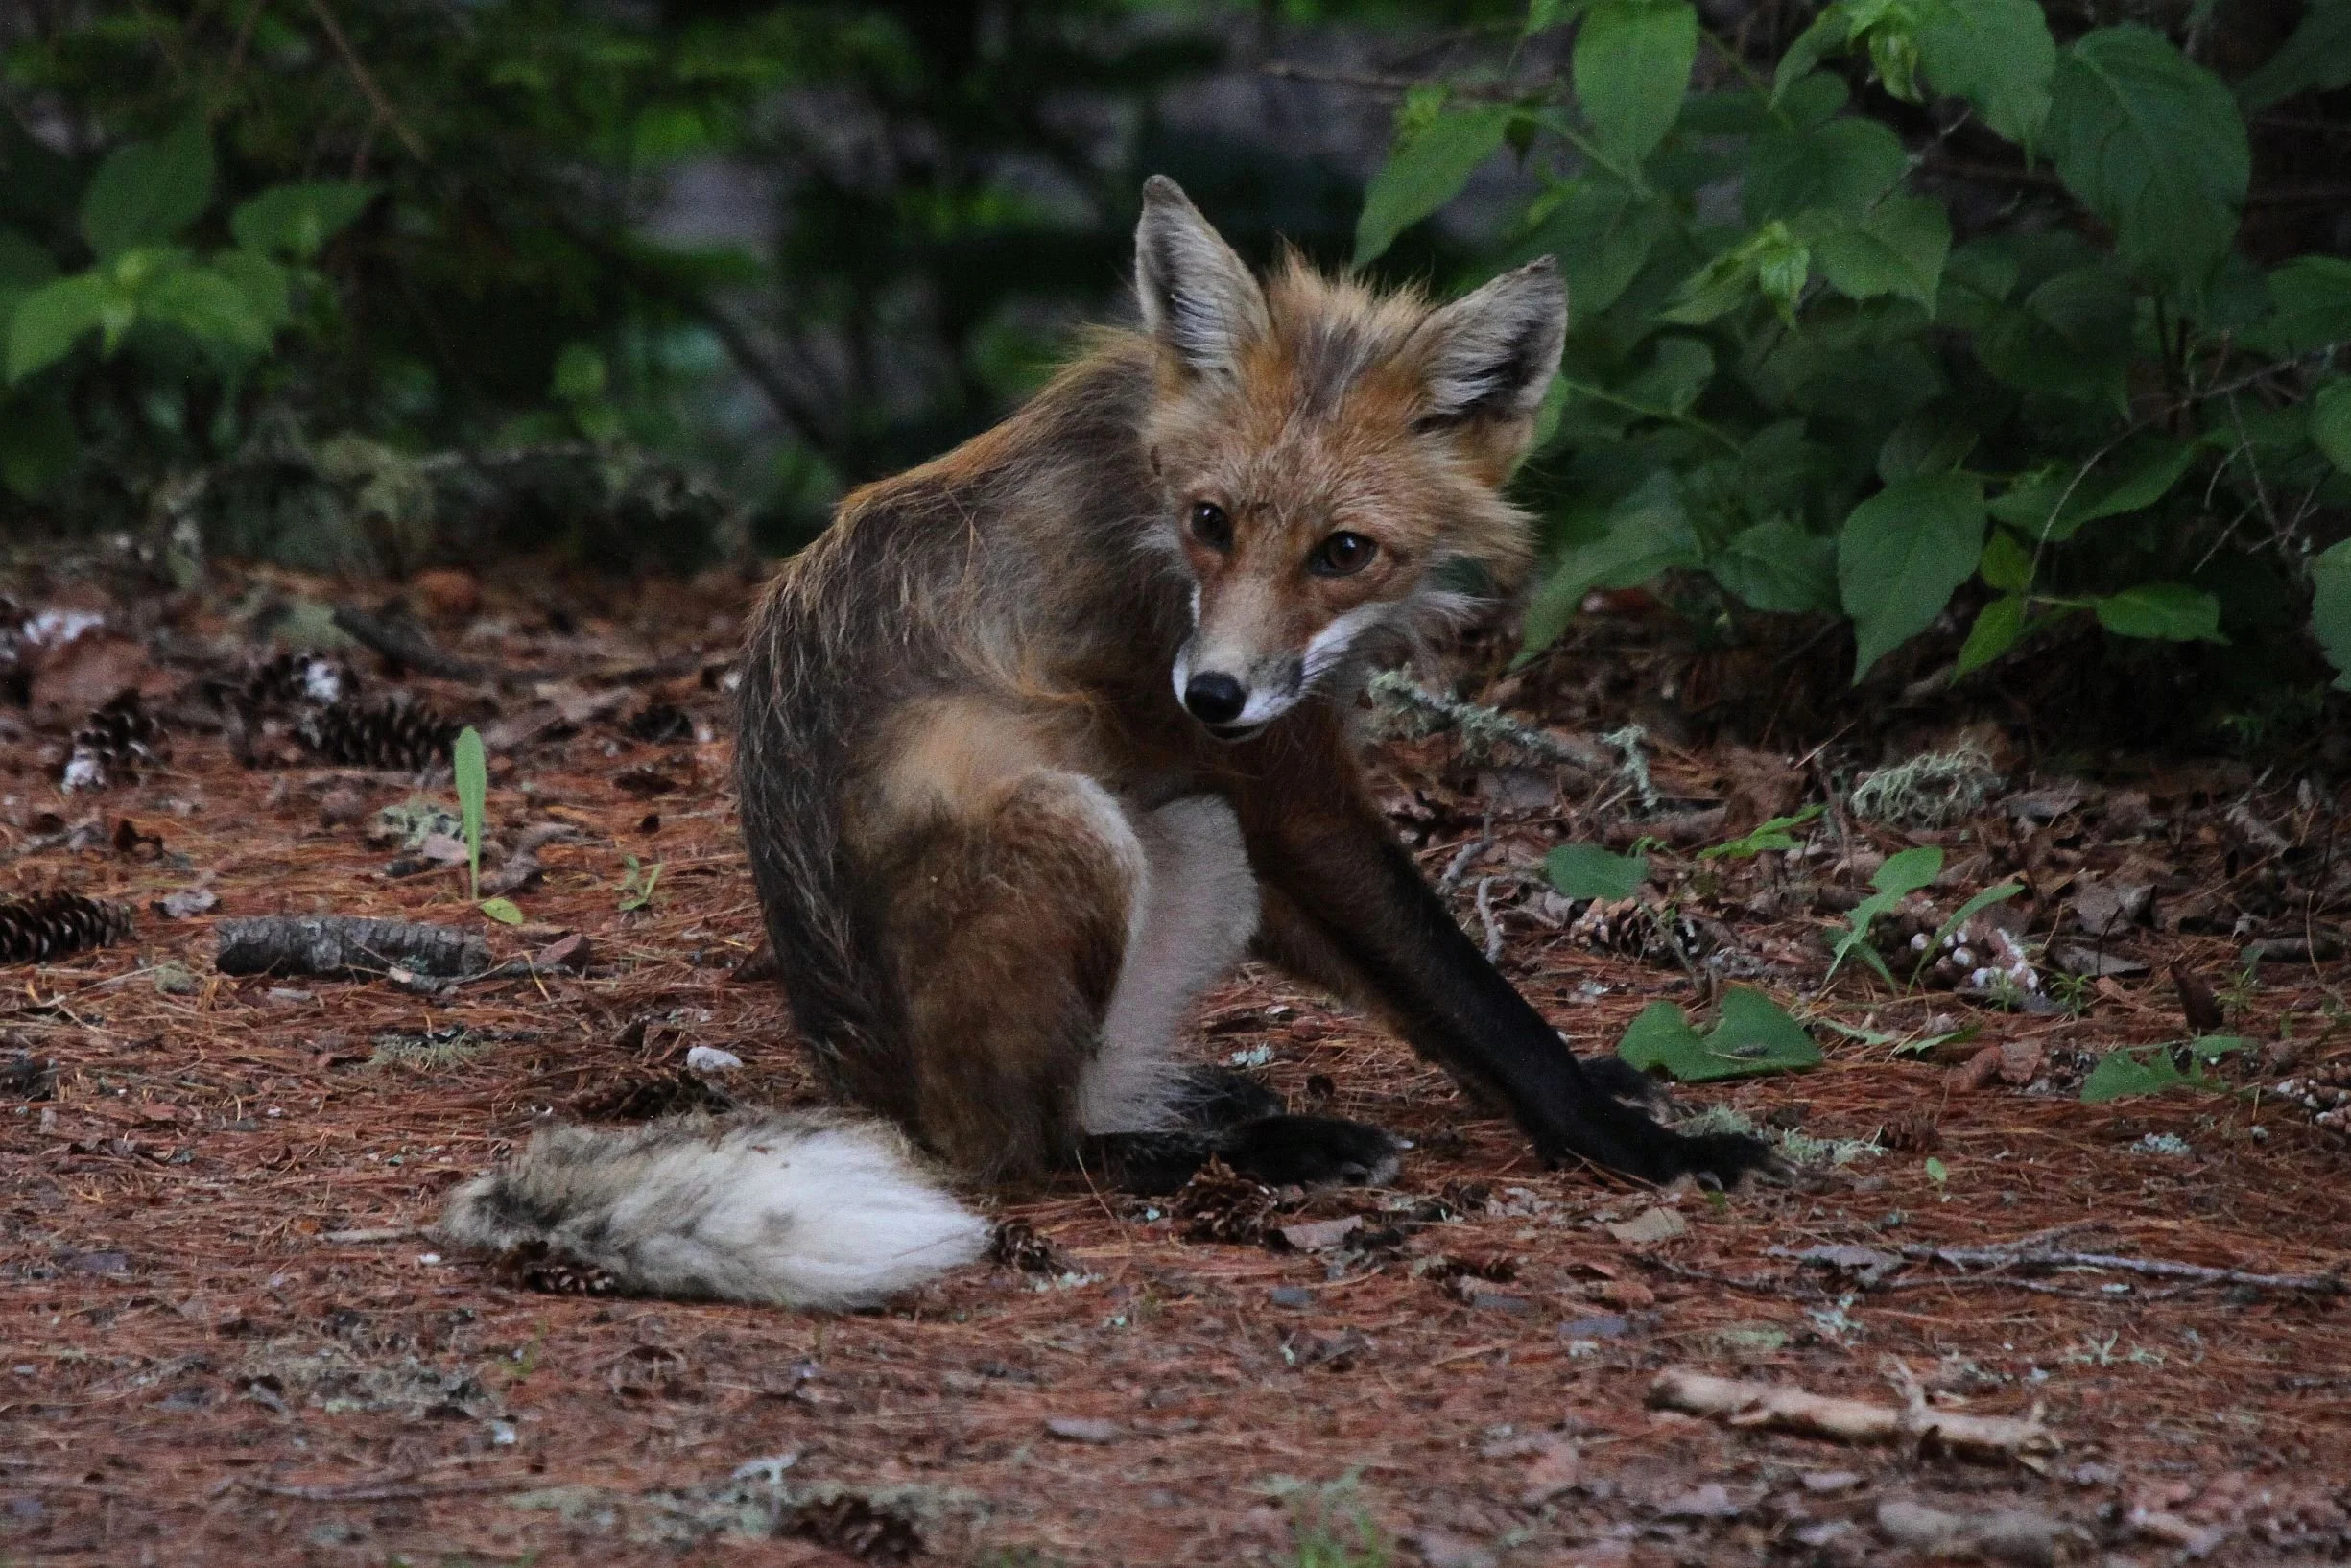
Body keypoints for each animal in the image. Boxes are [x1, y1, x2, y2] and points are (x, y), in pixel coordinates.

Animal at [438, 177, 1774, 1308]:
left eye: (1343, 550)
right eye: (1210, 521)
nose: (1214, 691)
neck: (1143, 481)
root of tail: (867, 1097)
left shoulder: (1250, 781)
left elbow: (1421, 997)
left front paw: (1598, 1087)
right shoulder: (1277, 780)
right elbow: (1468, 989)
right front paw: (1630, 1142)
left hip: (1189, 842)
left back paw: (1221, 1112)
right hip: (1066, 826)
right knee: (1030, 1148)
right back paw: (1222, 1149)